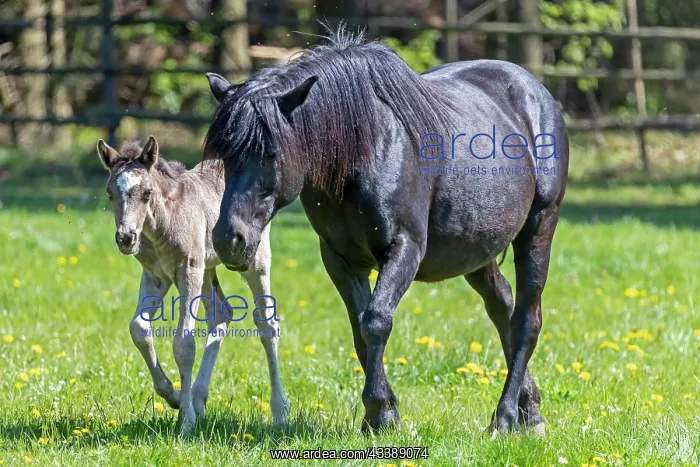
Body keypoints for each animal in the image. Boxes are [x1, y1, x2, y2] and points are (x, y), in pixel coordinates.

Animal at [96, 137, 289, 433]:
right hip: (207, 268)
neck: (164, 220)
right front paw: (174, 397)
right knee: (222, 314)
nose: (126, 238)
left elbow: (184, 344)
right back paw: (198, 398)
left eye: (147, 193)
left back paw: (279, 411)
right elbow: (139, 329)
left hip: (252, 261)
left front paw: (186, 420)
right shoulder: (156, 276)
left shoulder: (189, 272)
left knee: (267, 326)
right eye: (110, 193)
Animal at [202, 27, 568, 434]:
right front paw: (380, 413)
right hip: (474, 249)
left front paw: (382, 413)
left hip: (539, 228)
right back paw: (529, 408)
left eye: (270, 154)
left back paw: (506, 418)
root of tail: (534, 90)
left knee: (526, 320)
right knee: (502, 305)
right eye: (225, 155)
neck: (362, 149)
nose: (229, 240)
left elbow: (376, 322)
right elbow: (359, 329)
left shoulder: (404, 248)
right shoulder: (341, 260)